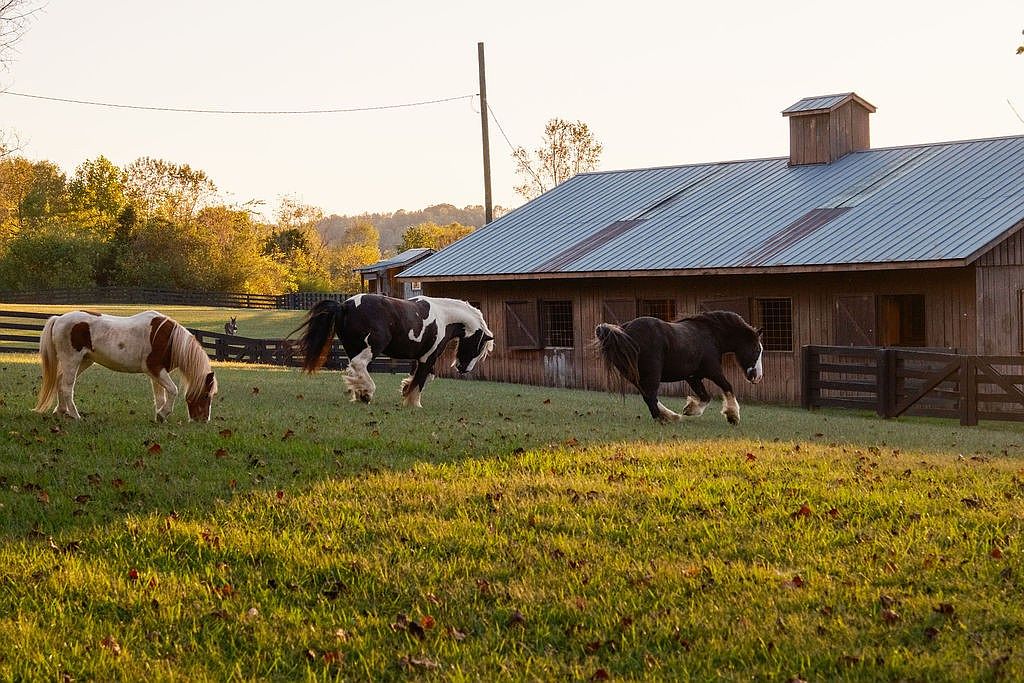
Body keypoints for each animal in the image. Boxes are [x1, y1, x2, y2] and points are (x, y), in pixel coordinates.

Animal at [34, 310, 218, 422]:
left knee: (60, 382)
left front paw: (160, 417)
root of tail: (58, 319)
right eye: (205, 396)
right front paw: (163, 414)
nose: (203, 420)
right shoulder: (156, 369)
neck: (169, 339)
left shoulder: (156, 373)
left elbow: (160, 397)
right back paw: (75, 415)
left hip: (84, 361)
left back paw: (61, 411)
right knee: (66, 387)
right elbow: (173, 391)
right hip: (71, 361)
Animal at [292, 294, 494, 407]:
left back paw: (361, 393)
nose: (464, 369)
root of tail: (344, 306)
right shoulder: (428, 358)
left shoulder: (420, 358)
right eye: (479, 347)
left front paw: (405, 390)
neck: (443, 317)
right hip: (371, 348)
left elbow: (425, 377)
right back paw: (367, 393)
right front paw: (414, 403)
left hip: (354, 348)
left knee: (354, 369)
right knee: (359, 364)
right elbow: (420, 381)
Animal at [594, 310, 763, 424]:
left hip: (634, 376)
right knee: (650, 396)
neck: (711, 335)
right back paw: (666, 419)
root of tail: (624, 331)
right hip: (652, 374)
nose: (757, 377)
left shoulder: (693, 377)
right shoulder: (714, 371)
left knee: (648, 396)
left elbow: (705, 397)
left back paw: (670, 416)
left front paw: (689, 410)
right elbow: (727, 387)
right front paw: (733, 416)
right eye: (756, 349)